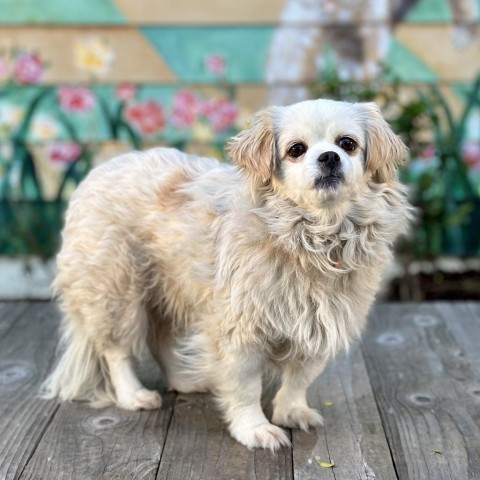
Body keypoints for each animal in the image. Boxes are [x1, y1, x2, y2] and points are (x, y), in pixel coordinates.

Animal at [43, 99, 412, 452]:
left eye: (348, 144)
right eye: (296, 150)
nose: (330, 157)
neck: (315, 236)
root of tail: (98, 171)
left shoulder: (319, 323)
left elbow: (300, 378)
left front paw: (292, 411)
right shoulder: (239, 331)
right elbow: (246, 388)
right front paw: (255, 429)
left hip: (172, 288)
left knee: (160, 340)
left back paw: (184, 380)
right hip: (115, 292)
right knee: (117, 351)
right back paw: (133, 395)